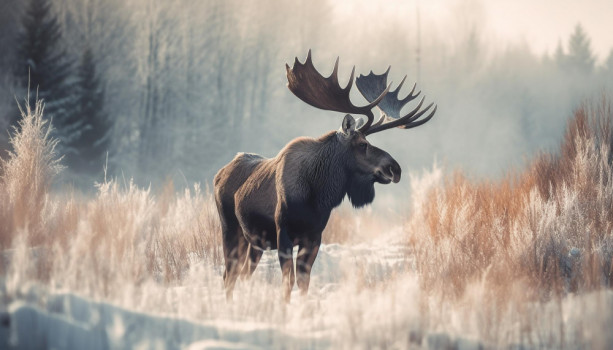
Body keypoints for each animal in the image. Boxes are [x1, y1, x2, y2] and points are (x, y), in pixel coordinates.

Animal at [215, 51, 436, 300]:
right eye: (362, 144)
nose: (395, 168)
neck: (317, 196)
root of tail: (219, 174)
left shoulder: (314, 236)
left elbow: (304, 281)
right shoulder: (283, 233)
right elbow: (287, 281)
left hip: (255, 242)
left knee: (242, 274)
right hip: (230, 228)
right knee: (229, 274)